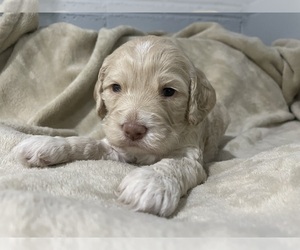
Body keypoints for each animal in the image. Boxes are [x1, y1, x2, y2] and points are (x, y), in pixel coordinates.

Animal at [12, 35, 230, 217]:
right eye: (116, 87)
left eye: (169, 91)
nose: (133, 130)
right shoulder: (115, 147)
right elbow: (87, 143)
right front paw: (49, 144)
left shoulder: (190, 154)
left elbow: (174, 163)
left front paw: (151, 182)